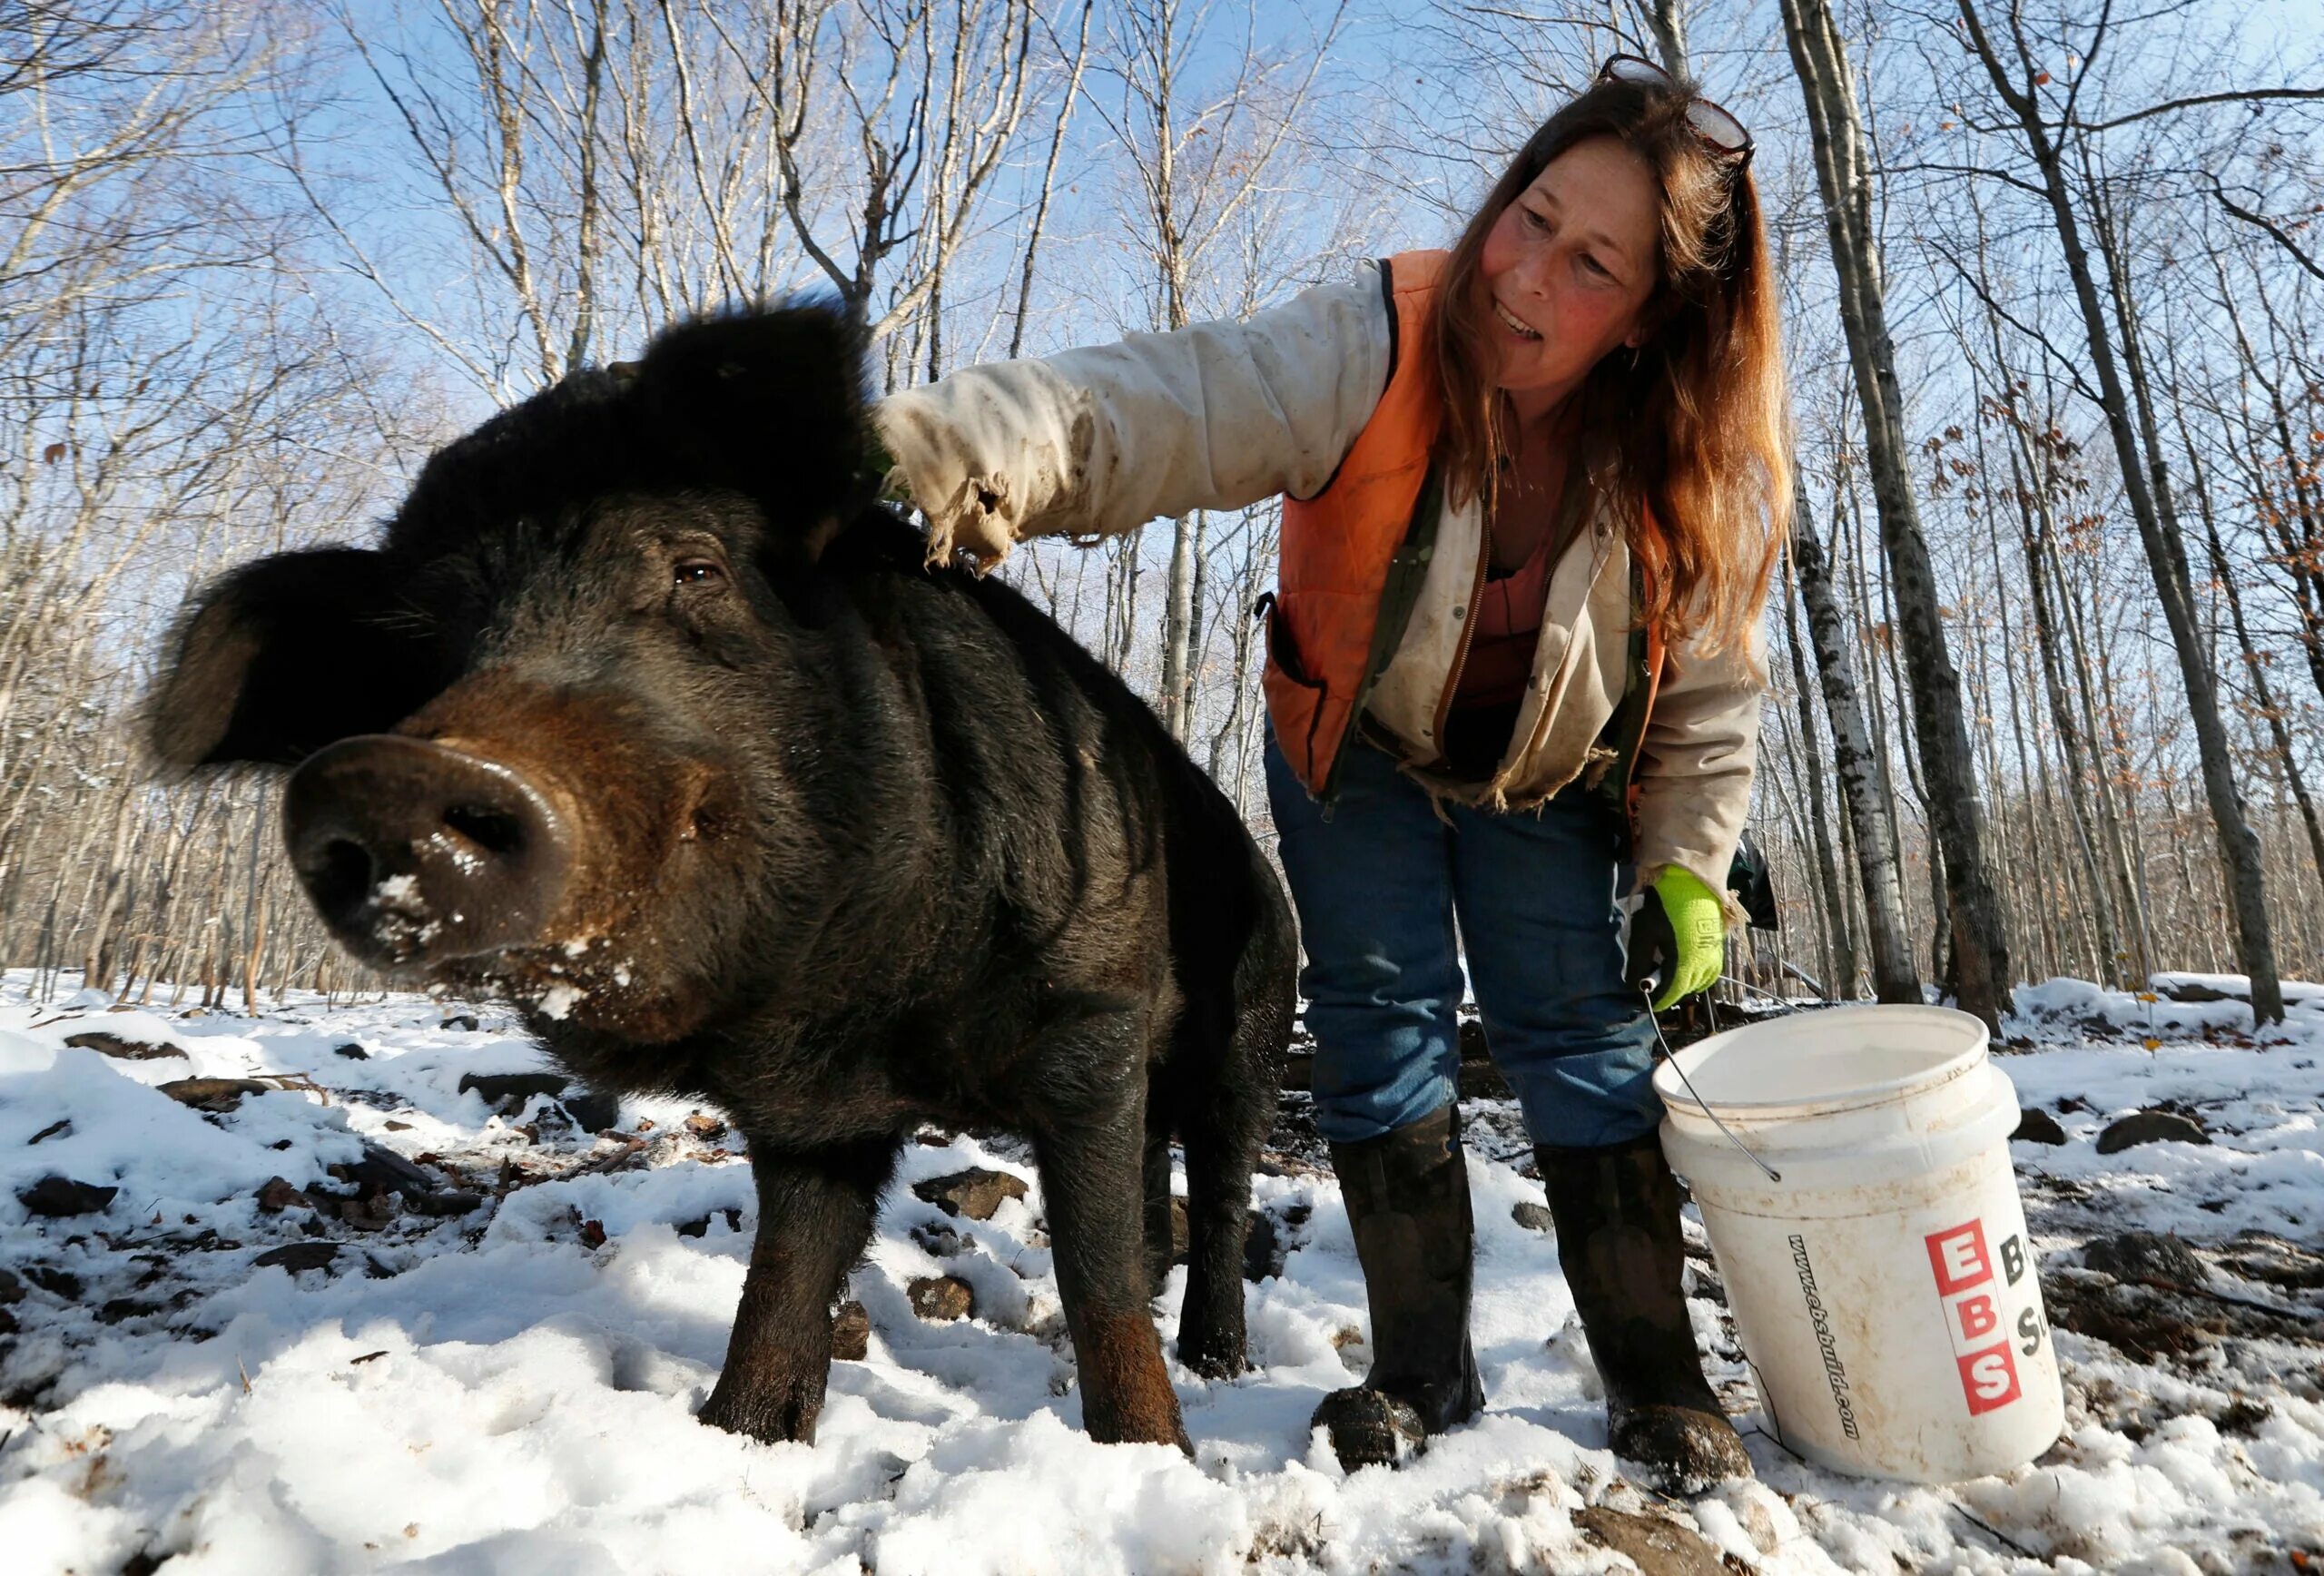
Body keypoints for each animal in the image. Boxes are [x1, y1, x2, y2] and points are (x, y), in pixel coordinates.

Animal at [154, 304, 1301, 1459]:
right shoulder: (814, 1117)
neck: (861, 1009)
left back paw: (1216, 1357)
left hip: (1252, 1020)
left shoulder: (1092, 1009)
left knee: (1221, 1185)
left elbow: (1091, 1266)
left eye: (698, 569)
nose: (390, 772)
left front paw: (1149, 1452)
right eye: (418, 651)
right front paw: (740, 1434)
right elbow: (783, 1277)